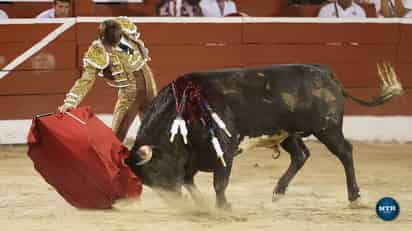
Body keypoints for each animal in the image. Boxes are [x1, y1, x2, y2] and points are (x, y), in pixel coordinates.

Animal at [125, 63, 402, 209]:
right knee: (301, 155)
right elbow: (189, 181)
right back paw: (278, 191)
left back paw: (354, 196)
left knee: (345, 152)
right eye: (147, 182)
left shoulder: (224, 149)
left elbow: (219, 183)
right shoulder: (193, 157)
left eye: (156, 170)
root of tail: (324, 72)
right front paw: (204, 204)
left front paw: (223, 207)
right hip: (288, 133)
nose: (175, 204)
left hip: (328, 128)